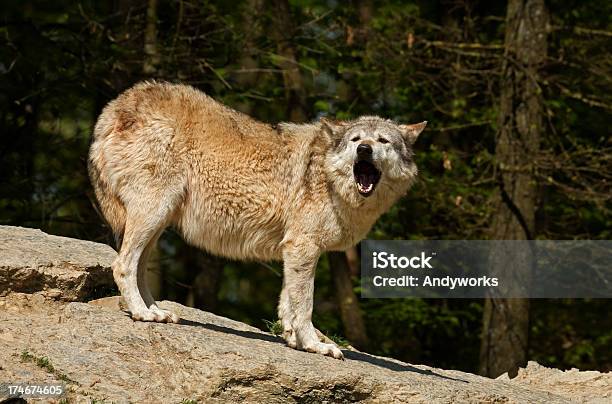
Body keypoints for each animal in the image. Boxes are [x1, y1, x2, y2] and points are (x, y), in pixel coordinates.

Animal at [88, 80, 428, 358]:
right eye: (356, 139)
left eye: (383, 141)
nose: (365, 150)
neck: (331, 181)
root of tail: (115, 107)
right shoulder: (303, 247)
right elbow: (305, 305)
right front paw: (315, 345)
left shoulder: (294, 251)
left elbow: (288, 305)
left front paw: (295, 341)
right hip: (153, 214)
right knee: (122, 265)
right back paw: (143, 313)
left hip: (157, 223)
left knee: (138, 268)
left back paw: (156, 310)